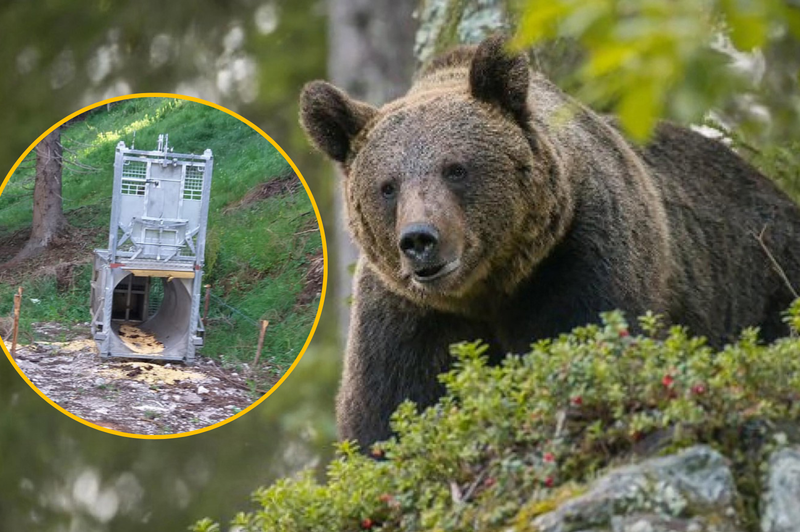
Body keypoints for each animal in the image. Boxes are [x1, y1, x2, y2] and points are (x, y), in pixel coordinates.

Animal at [296, 34, 800, 448]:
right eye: (388, 186)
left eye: (455, 168)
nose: (420, 240)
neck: (488, 288)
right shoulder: (407, 314)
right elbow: (390, 413)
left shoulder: (581, 254)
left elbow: (585, 341)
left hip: (764, 274)